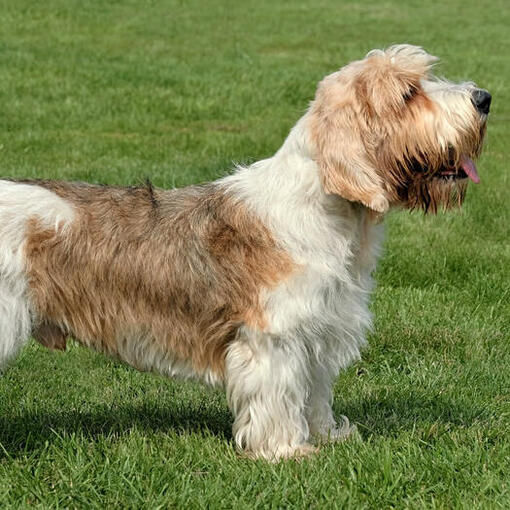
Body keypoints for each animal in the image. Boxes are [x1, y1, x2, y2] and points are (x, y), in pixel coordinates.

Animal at [0, 45, 490, 460]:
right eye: (409, 93)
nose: (484, 97)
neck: (326, 211)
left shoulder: (319, 330)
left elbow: (315, 393)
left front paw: (329, 435)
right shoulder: (274, 336)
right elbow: (279, 395)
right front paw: (286, 451)